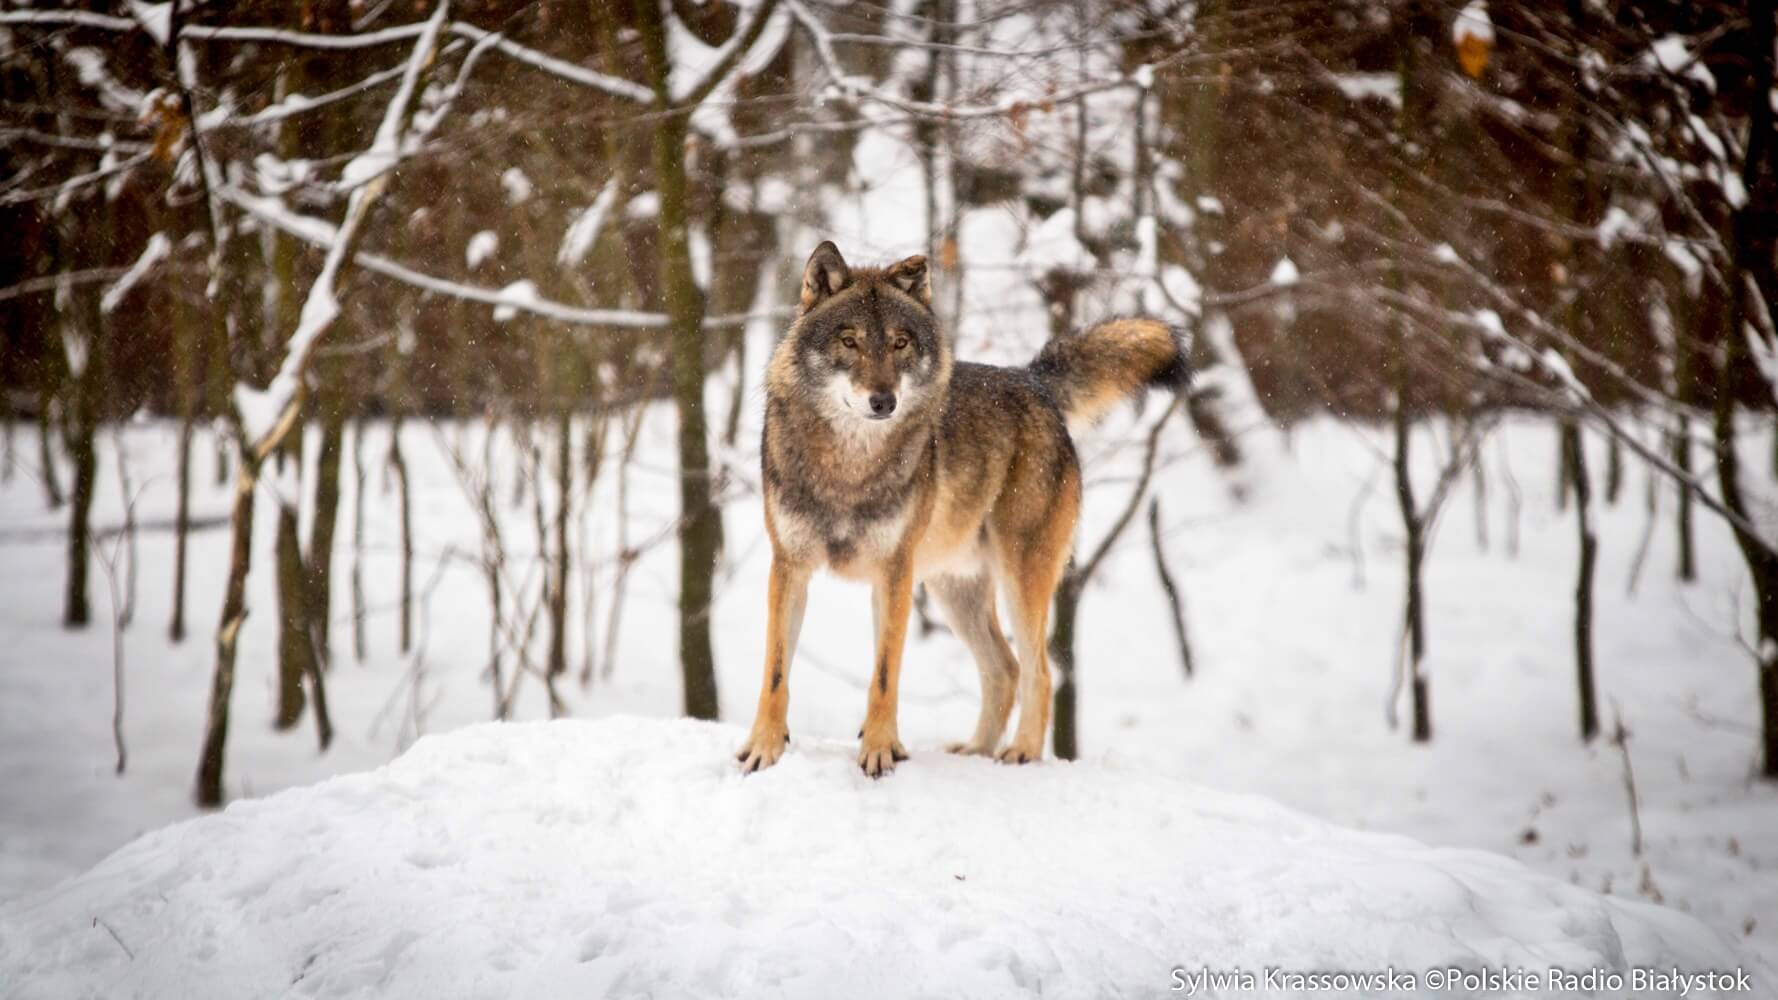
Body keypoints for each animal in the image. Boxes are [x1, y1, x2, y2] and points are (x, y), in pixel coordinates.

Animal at [736, 240, 1194, 772]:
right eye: (849, 342)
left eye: (900, 343)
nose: (883, 401)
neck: (849, 466)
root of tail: (1034, 382)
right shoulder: (789, 565)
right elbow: (775, 672)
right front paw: (764, 748)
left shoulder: (894, 573)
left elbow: (885, 675)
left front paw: (880, 749)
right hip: (953, 589)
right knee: (1005, 668)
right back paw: (977, 750)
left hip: (1019, 578)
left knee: (1039, 671)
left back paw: (1021, 752)